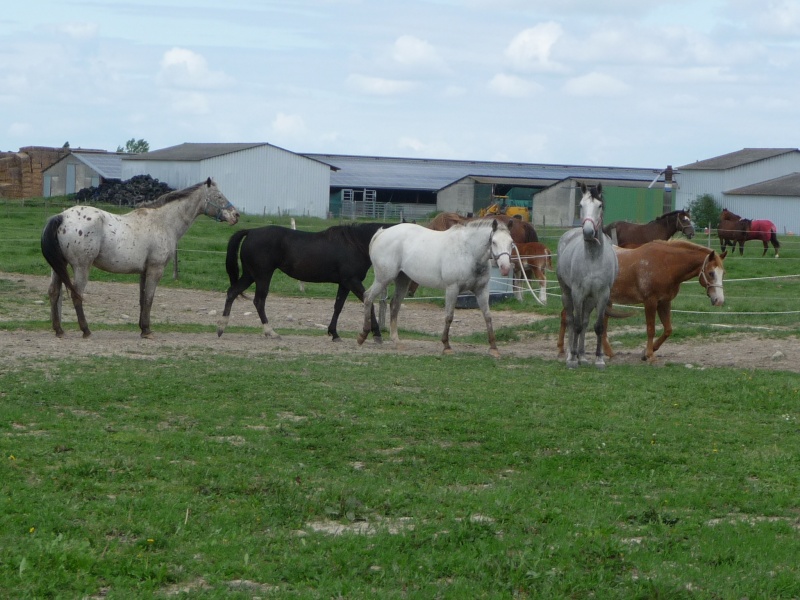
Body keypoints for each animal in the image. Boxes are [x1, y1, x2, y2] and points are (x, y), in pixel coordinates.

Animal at [40, 177, 239, 338]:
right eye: (219, 196)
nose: (236, 215)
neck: (163, 221)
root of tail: (62, 216)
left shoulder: (144, 271)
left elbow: (142, 299)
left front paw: (142, 329)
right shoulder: (155, 269)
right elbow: (149, 299)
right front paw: (147, 330)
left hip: (58, 267)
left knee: (53, 292)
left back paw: (59, 330)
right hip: (82, 267)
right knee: (77, 295)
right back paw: (86, 330)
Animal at [217, 221, 396, 342]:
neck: (355, 244)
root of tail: (251, 232)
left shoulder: (344, 284)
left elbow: (338, 307)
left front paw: (334, 333)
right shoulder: (352, 281)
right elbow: (369, 303)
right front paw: (377, 334)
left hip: (250, 275)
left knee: (232, 292)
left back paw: (221, 328)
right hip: (262, 276)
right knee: (259, 301)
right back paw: (270, 332)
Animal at [356, 219, 512, 356]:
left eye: (511, 243)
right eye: (494, 242)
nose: (505, 268)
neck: (468, 251)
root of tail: (382, 232)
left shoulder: (482, 290)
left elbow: (488, 317)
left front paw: (494, 348)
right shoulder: (452, 289)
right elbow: (449, 317)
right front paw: (446, 346)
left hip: (402, 280)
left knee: (394, 305)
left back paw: (396, 341)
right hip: (383, 279)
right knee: (368, 298)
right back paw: (362, 336)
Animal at [556, 183, 620, 368]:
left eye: (599, 205)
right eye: (580, 205)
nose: (588, 232)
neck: (593, 258)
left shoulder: (602, 295)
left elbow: (598, 327)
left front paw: (599, 359)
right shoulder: (578, 293)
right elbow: (576, 324)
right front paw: (572, 359)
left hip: (590, 299)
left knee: (584, 322)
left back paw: (582, 356)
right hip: (567, 294)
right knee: (571, 320)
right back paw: (571, 354)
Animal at [560, 239, 728, 360]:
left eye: (723, 273)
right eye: (711, 273)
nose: (719, 300)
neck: (666, 264)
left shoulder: (664, 302)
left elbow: (668, 330)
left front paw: (649, 350)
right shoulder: (650, 302)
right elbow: (651, 329)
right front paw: (649, 355)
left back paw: (606, 352)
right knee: (566, 316)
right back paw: (562, 349)